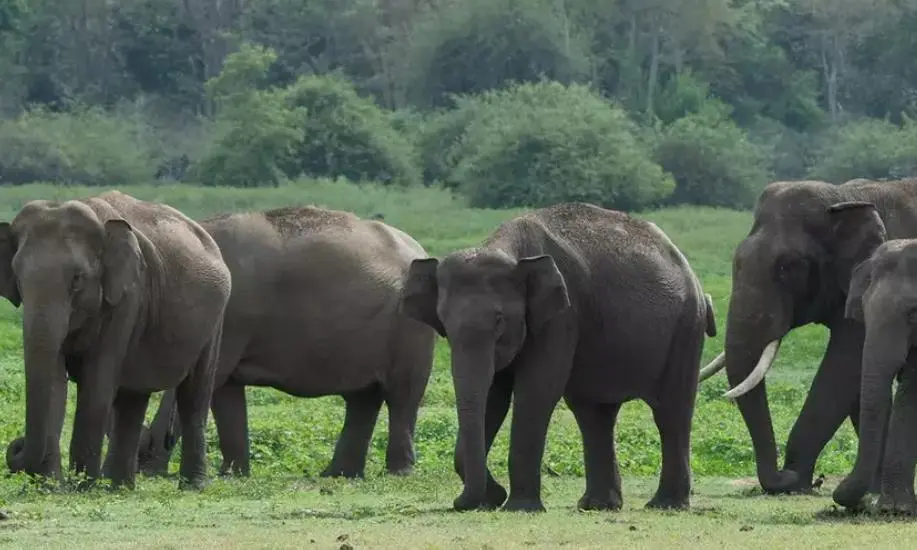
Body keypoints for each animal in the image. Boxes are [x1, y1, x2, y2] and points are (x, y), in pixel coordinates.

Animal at [0, 191, 231, 490]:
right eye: (17, 277)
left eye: (78, 278)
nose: (16, 446)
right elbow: (53, 382)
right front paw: (51, 487)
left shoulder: (127, 297)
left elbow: (98, 382)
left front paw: (82, 487)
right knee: (132, 399)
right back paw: (119, 486)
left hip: (216, 318)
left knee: (194, 395)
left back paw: (192, 486)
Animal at [133, 205, 436, 479]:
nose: (142, 464)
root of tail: (418, 248)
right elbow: (225, 390)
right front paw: (233, 476)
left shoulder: (228, 318)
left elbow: (209, 381)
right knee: (363, 398)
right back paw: (337, 475)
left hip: (410, 329)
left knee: (402, 395)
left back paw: (397, 473)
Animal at [399, 202, 716, 512]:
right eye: (443, 323)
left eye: (500, 320)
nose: (460, 503)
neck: (507, 248)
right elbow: (493, 396)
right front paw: (493, 498)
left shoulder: (563, 315)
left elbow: (537, 389)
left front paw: (519, 507)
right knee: (593, 413)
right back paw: (598, 505)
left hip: (686, 327)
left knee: (671, 412)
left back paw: (665, 505)